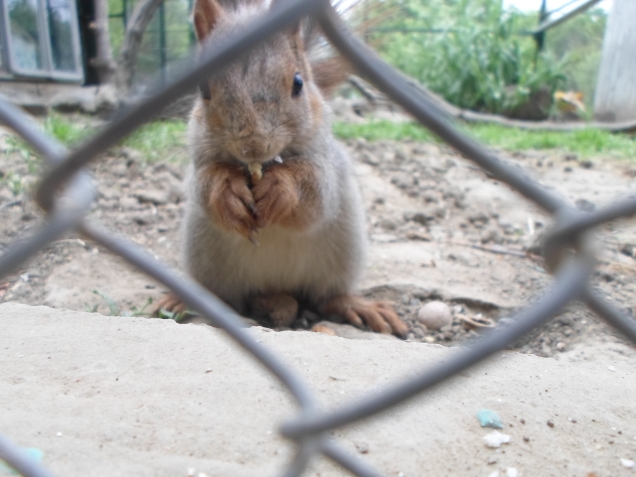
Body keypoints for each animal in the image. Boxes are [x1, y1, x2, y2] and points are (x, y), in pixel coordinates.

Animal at [157, 0, 410, 336]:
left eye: (298, 83)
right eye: (203, 89)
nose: (252, 146)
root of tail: (274, 287)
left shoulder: (325, 162)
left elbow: (315, 194)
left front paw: (281, 188)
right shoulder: (200, 160)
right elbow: (205, 184)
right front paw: (227, 191)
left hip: (342, 254)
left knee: (327, 298)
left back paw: (357, 305)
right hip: (207, 258)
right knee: (219, 295)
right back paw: (183, 300)